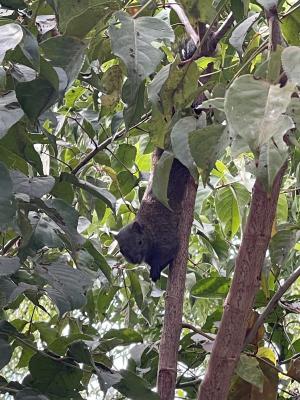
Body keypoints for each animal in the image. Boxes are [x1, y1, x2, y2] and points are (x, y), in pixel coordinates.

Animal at [115, 148, 190, 282]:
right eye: (122, 250)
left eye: (140, 242)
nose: (135, 260)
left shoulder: (166, 238)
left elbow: (170, 251)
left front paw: (155, 270)